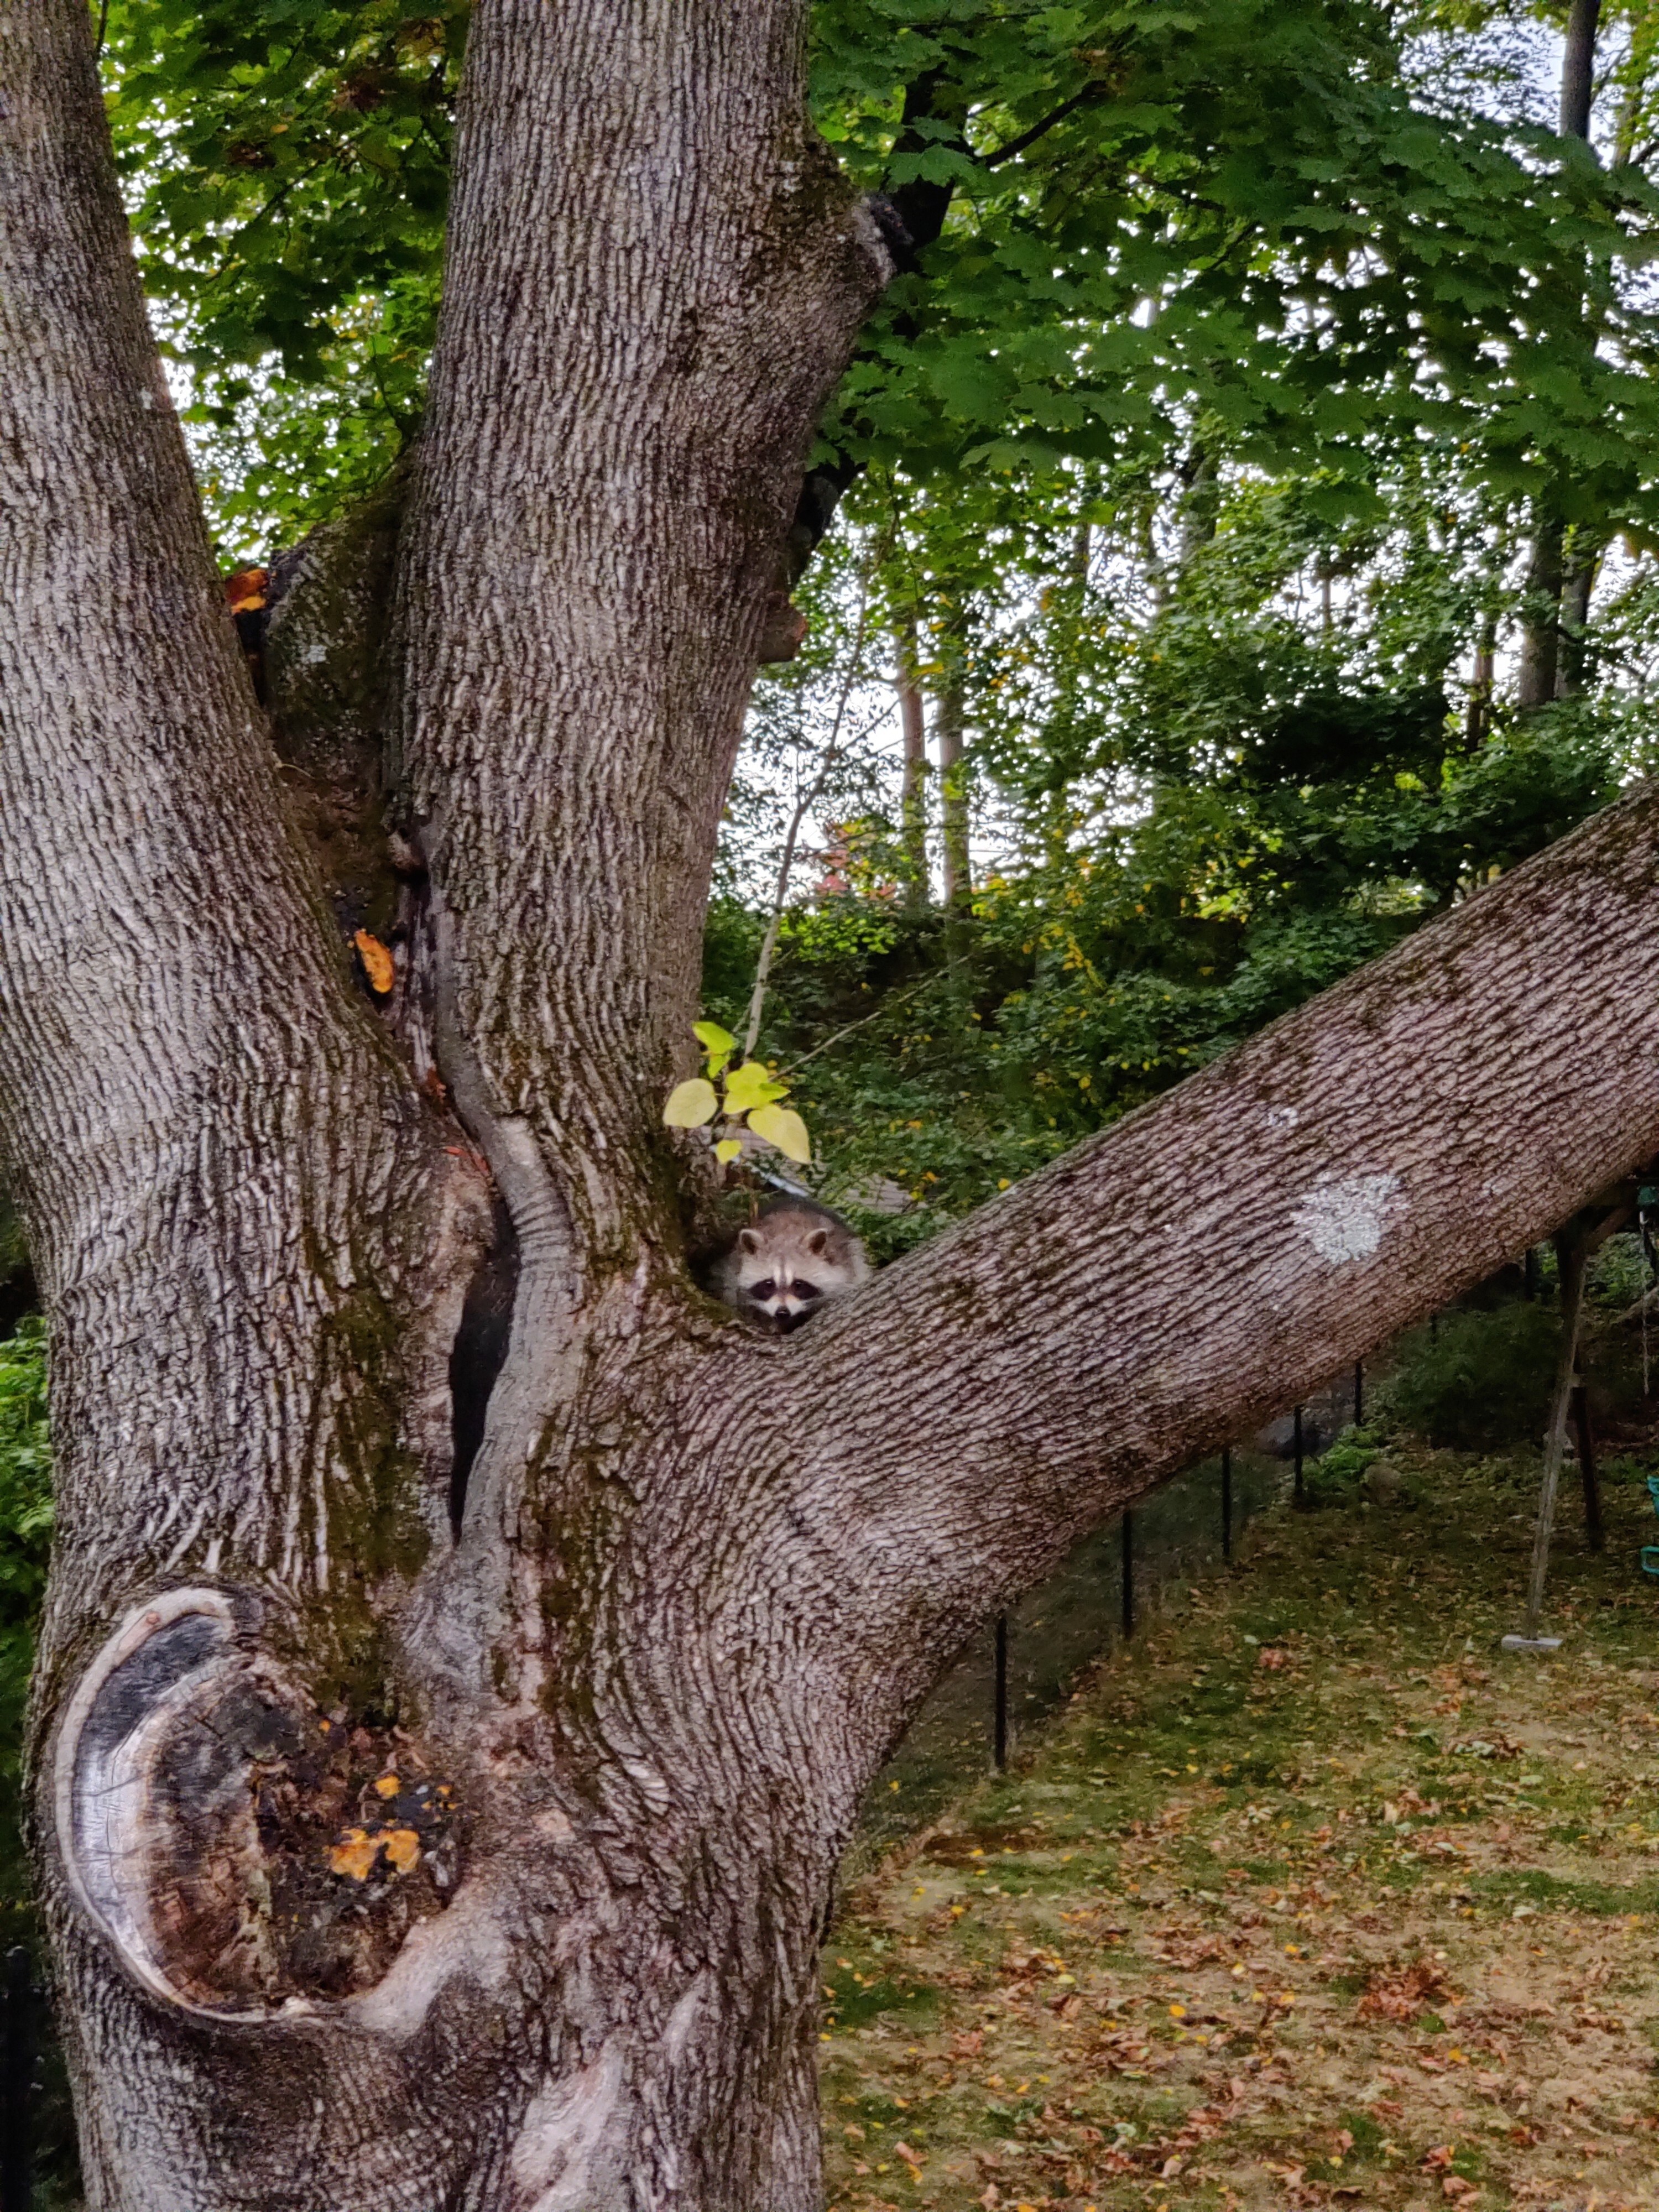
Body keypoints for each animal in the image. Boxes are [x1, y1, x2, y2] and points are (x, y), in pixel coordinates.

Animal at [712, 1194, 872, 1327]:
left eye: (799, 1285)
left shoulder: (846, 1266)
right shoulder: (732, 1270)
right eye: (769, 1284)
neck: (786, 1234)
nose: (782, 1312)